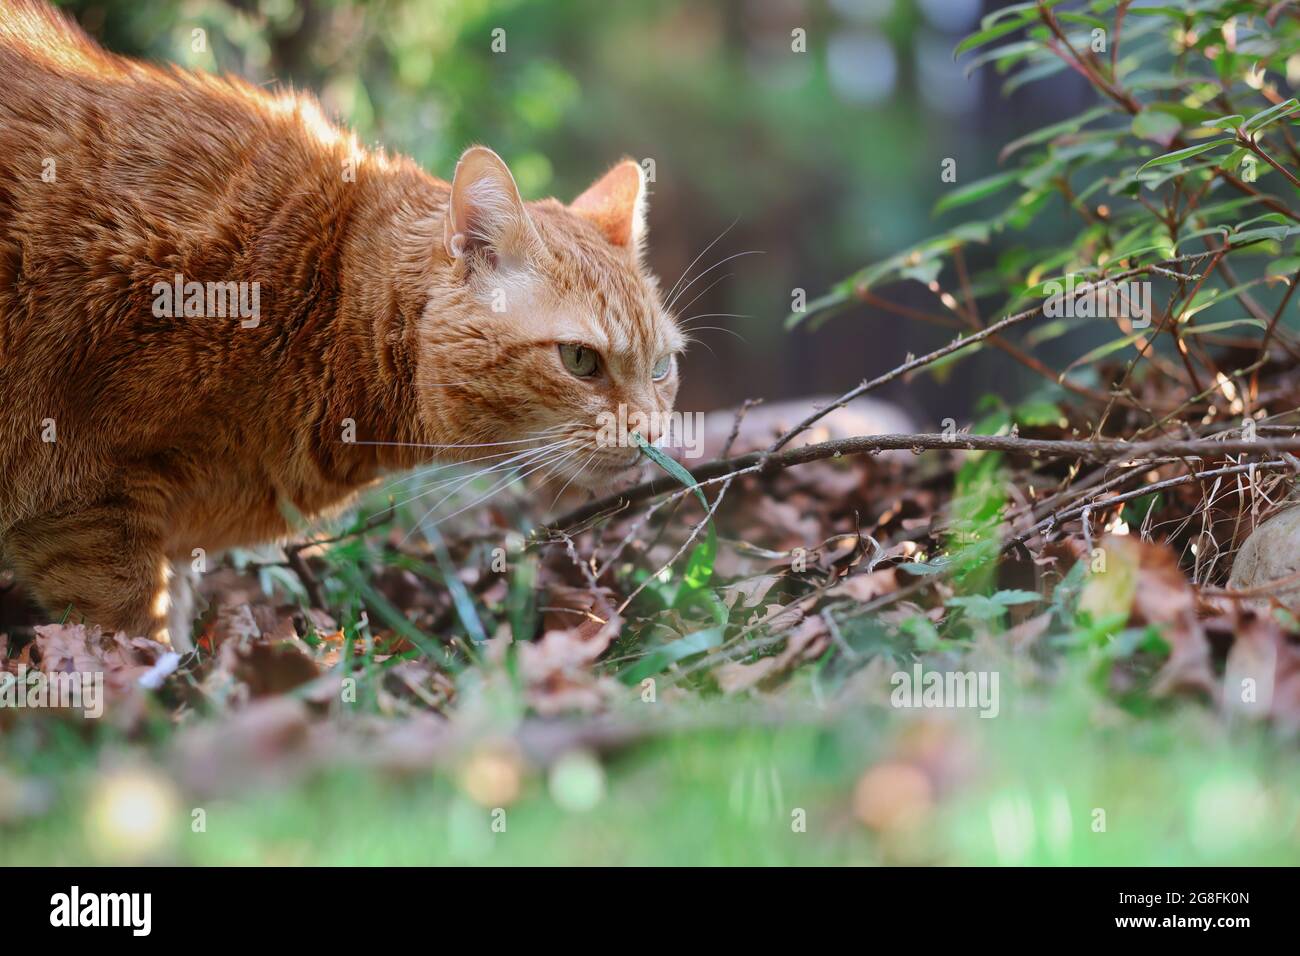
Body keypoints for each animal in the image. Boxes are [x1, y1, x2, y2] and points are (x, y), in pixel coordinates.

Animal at [0, 0, 686, 650]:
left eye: (662, 367)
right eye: (580, 360)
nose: (655, 431)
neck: (322, 294)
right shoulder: (85, 503)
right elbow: (134, 638)